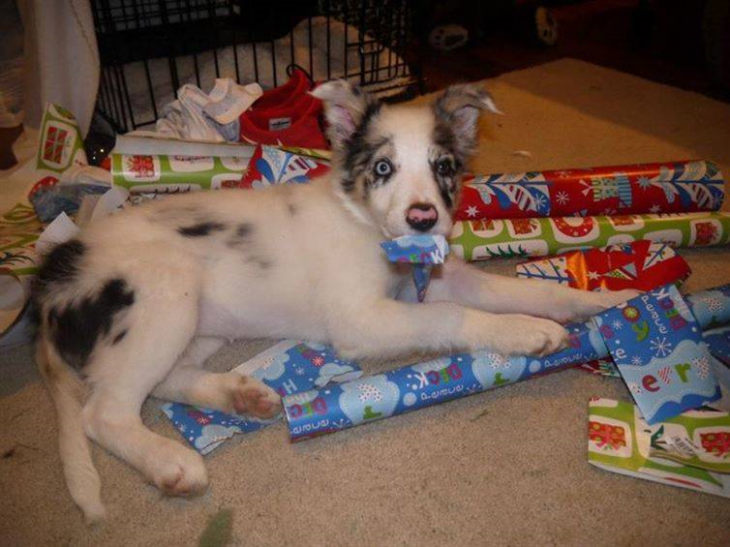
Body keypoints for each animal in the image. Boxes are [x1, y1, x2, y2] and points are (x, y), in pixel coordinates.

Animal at [34, 81, 636, 524]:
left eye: (443, 167)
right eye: (383, 168)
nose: (423, 218)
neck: (367, 225)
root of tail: (53, 280)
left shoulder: (430, 280)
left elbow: (520, 289)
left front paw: (607, 297)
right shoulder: (361, 319)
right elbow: (447, 316)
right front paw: (526, 331)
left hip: (202, 323)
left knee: (160, 381)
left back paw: (237, 395)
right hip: (163, 295)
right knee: (105, 410)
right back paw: (171, 464)